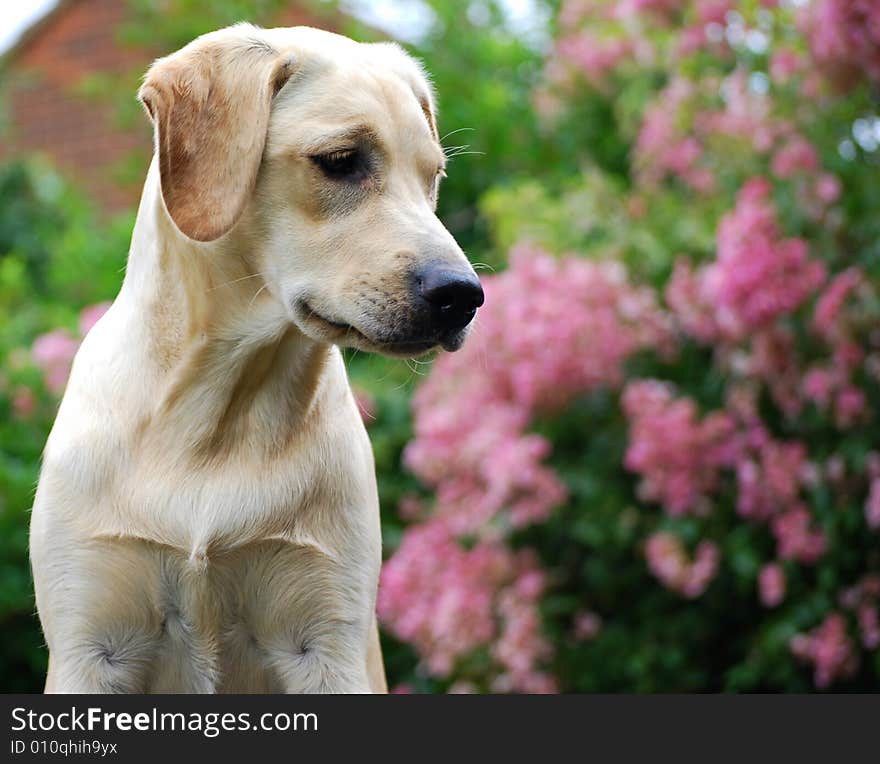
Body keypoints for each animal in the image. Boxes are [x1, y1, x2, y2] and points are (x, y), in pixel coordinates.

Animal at [29, 22, 482, 692]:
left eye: (432, 177)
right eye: (341, 161)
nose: (464, 296)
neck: (217, 412)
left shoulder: (328, 642)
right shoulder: (90, 643)